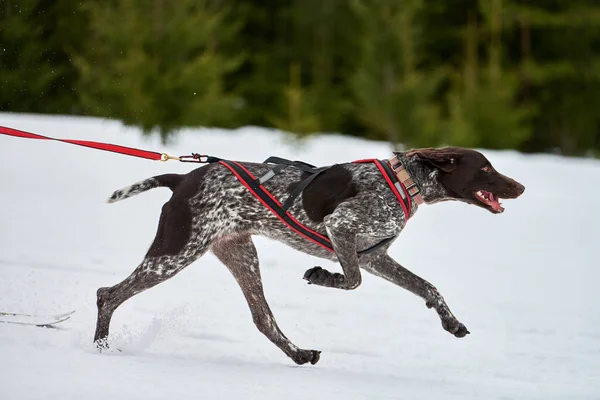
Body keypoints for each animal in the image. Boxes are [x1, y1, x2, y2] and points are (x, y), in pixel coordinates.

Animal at [94, 148, 524, 366]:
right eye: (486, 168)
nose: (520, 186)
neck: (405, 183)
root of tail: (182, 178)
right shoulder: (342, 229)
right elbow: (351, 280)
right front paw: (322, 276)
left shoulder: (373, 255)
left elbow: (428, 287)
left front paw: (451, 323)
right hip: (175, 252)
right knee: (107, 295)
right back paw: (100, 349)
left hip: (239, 254)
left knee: (264, 319)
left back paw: (299, 354)